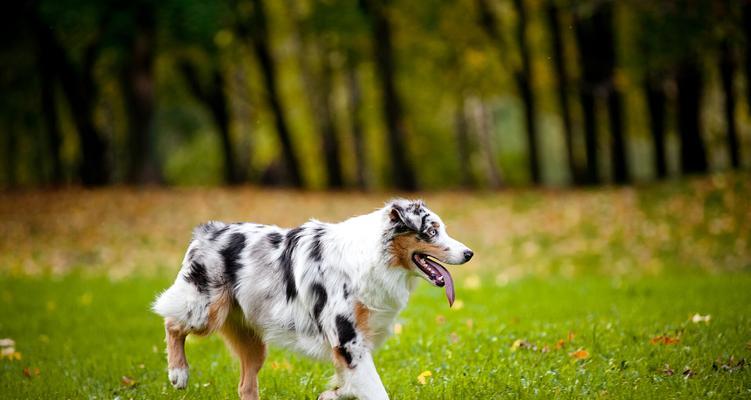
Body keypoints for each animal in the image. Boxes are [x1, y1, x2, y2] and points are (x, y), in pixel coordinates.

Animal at [151, 198, 476, 398]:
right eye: (432, 231)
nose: (469, 253)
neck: (375, 259)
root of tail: (208, 230)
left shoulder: (353, 346)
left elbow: (349, 384)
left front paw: (331, 394)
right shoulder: (348, 341)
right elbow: (375, 391)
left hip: (252, 341)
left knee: (245, 386)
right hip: (205, 310)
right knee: (171, 322)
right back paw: (178, 374)